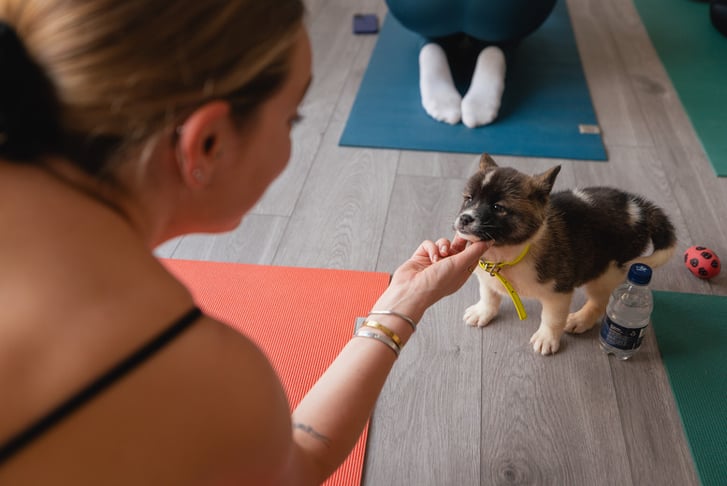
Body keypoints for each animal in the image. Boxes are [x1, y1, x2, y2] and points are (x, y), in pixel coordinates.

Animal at [456, 154, 676, 356]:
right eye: (468, 198)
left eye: (498, 207)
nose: (464, 219)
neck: (508, 254)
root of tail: (637, 208)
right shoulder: (487, 278)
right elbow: (489, 295)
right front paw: (483, 312)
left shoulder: (558, 292)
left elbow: (552, 318)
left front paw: (547, 338)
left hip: (606, 273)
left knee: (600, 301)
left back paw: (581, 319)